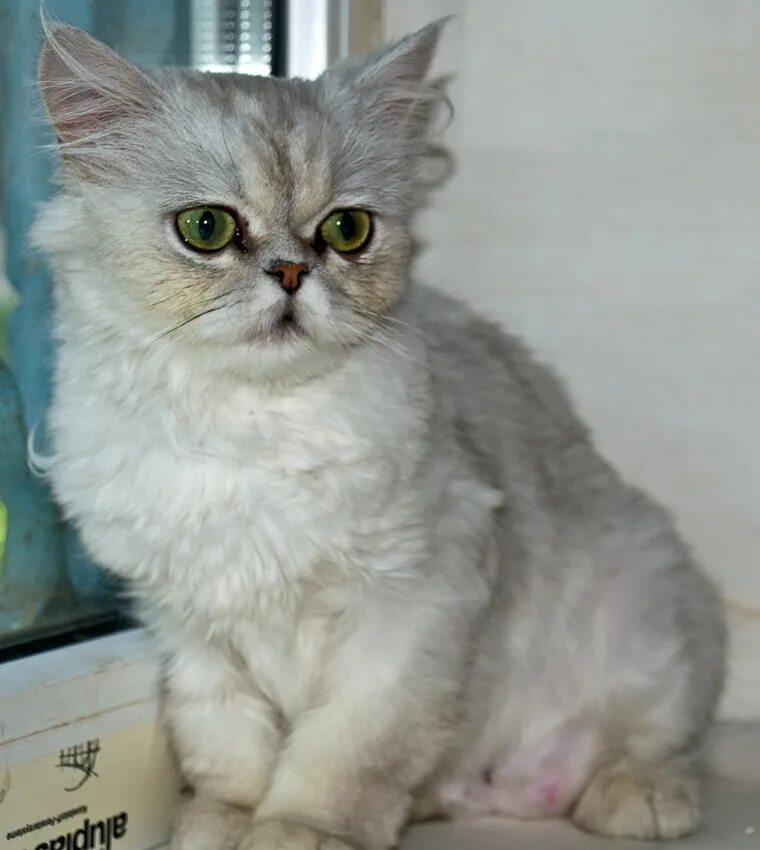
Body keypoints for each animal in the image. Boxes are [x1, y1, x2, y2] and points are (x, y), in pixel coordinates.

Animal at [34, 17, 725, 850]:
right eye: (207, 228)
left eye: (346, 230)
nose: (292, 274)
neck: (249, 425)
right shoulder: (192, 627)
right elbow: (228, 751)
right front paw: (222, 826)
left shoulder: (412, 602)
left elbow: (346, 752)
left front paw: (300, 832)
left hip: (649, 608)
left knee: (658, 741)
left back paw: (636, 796)